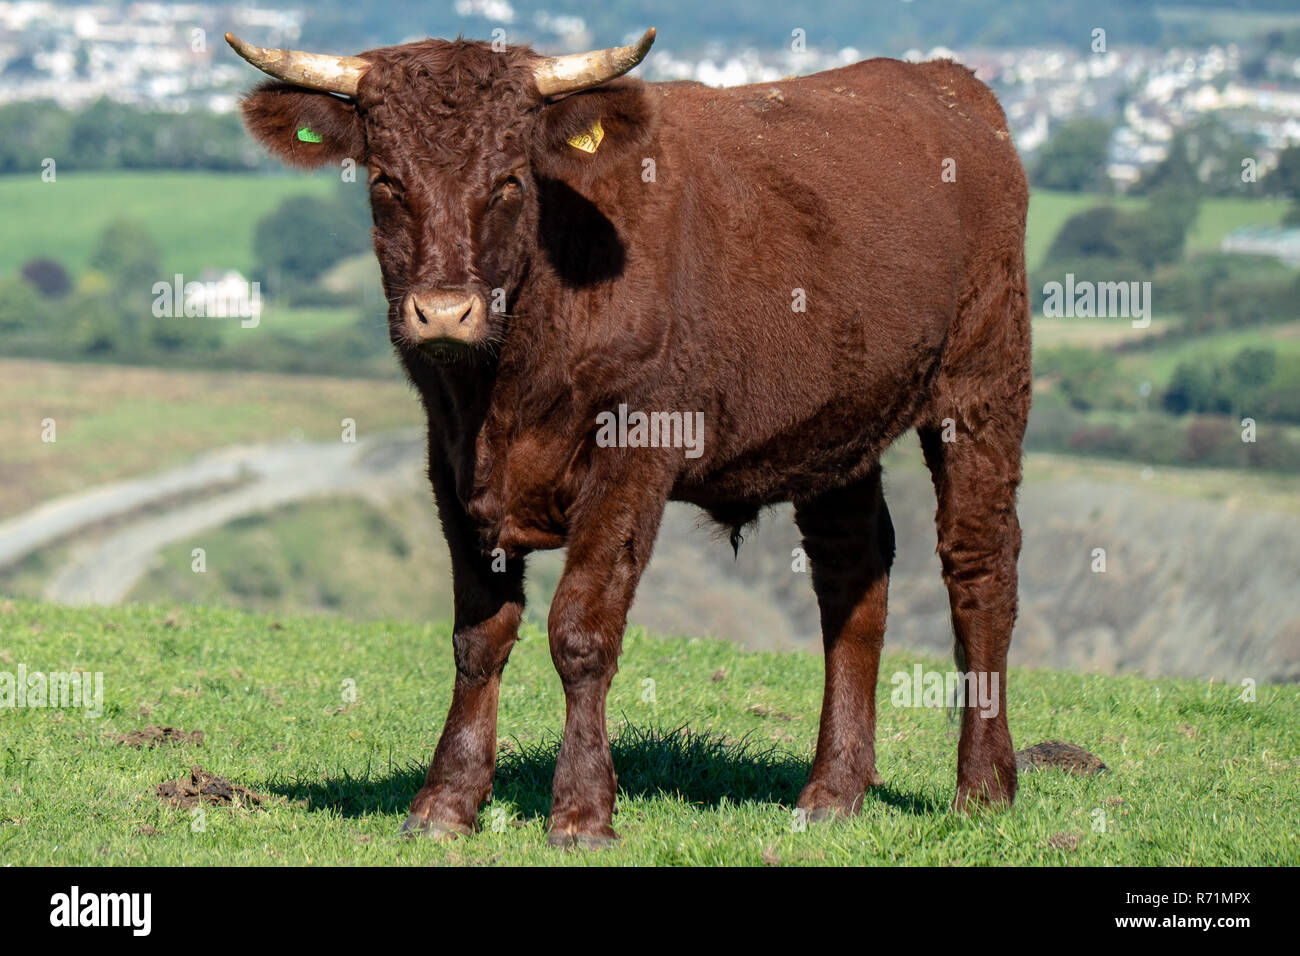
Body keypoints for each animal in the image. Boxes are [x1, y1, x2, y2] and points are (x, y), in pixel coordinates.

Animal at [228, 25, 1032, 848]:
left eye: (510, 181)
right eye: (387, 181)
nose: (445, 312)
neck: (505, 384)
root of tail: (945, 82)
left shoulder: (635, 451)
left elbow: (581, 632)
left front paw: (582, 811)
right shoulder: (449, 461)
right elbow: (478, 636)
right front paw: (445, 803)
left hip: (985, 375)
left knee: (979, 566)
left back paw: (984, 786)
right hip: (837, 426)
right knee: (852, 577)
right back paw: (832, 792)